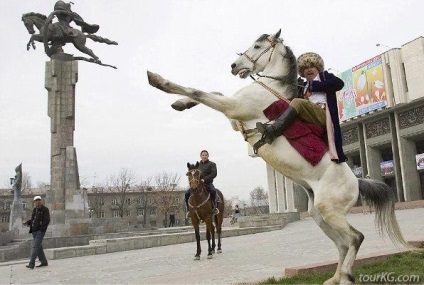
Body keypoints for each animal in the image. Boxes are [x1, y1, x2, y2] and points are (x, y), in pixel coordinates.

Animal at [147, 28, 410, 284]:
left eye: (257, 46)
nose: (234, 66)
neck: (270, 89)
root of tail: (356, 181)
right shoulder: (233, 116)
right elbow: (212, 91)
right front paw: (181, 103)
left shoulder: (234, 108)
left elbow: (199, 91)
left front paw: (158, 80)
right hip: (319, 214)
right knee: (343, 243)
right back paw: (334, 278)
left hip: (329, 210)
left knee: (356, 237)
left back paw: (345, 277)